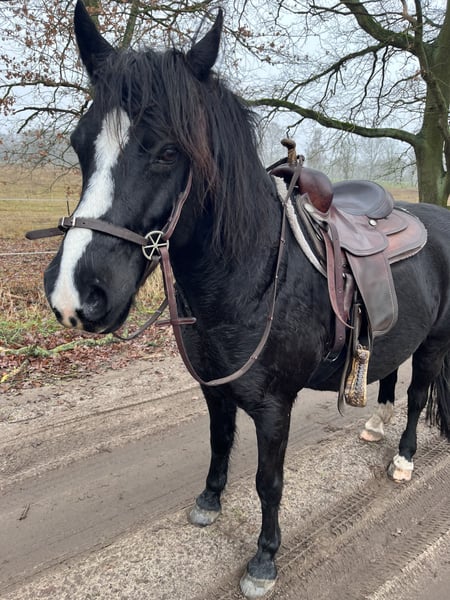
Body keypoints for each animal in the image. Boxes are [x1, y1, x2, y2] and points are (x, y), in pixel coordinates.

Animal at [42, 1, 450, 597]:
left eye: (169, 151)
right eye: (79, 143)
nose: (76, 295)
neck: (252, 277)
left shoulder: (274, 406)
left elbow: (268, 481)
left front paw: (264, 559)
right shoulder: (216, 389)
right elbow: (219, 443)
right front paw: (209, 501)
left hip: (435, 343)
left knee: (419, 396)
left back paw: (402, 457)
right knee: (388, 375)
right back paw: (375, 427)